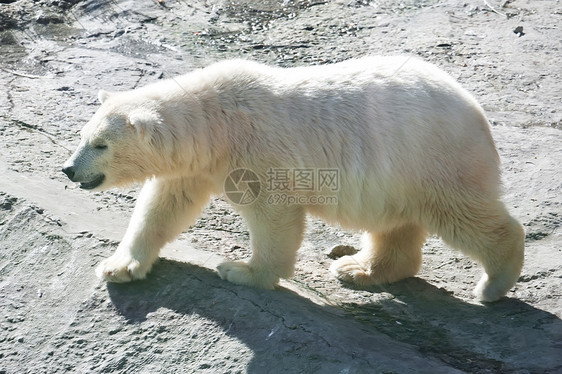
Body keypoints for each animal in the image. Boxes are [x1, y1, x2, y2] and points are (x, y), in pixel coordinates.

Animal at [63, 56, 524, 300]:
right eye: (83, 136)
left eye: (101, 144)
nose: (68, 169)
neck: (216, 122)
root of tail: (474, 109)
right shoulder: (195, 166)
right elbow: (163, 206)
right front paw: (119, 266)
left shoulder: (259, 151)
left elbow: (273, 213)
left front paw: (241, 271)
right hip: (397, 172)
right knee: (395, 223)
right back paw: (359, 268)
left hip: (431, 157)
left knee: (464, 214)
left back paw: (492, 284)